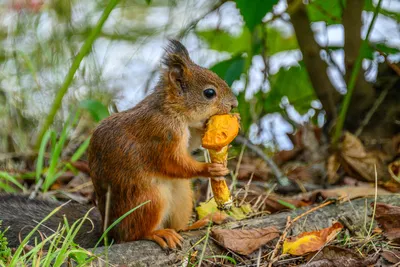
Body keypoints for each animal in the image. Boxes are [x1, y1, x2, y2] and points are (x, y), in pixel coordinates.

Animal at [0, 40, 238, 251]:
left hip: (182, 196)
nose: (234, 104)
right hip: (149, 200)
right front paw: (210, 168)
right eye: (209, 93)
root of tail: (109, 231)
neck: (172, 110)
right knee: (134, 235)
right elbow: (173, 162)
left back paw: (201, 222)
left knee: (179, 226)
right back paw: (158, 234)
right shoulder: (160, 133)